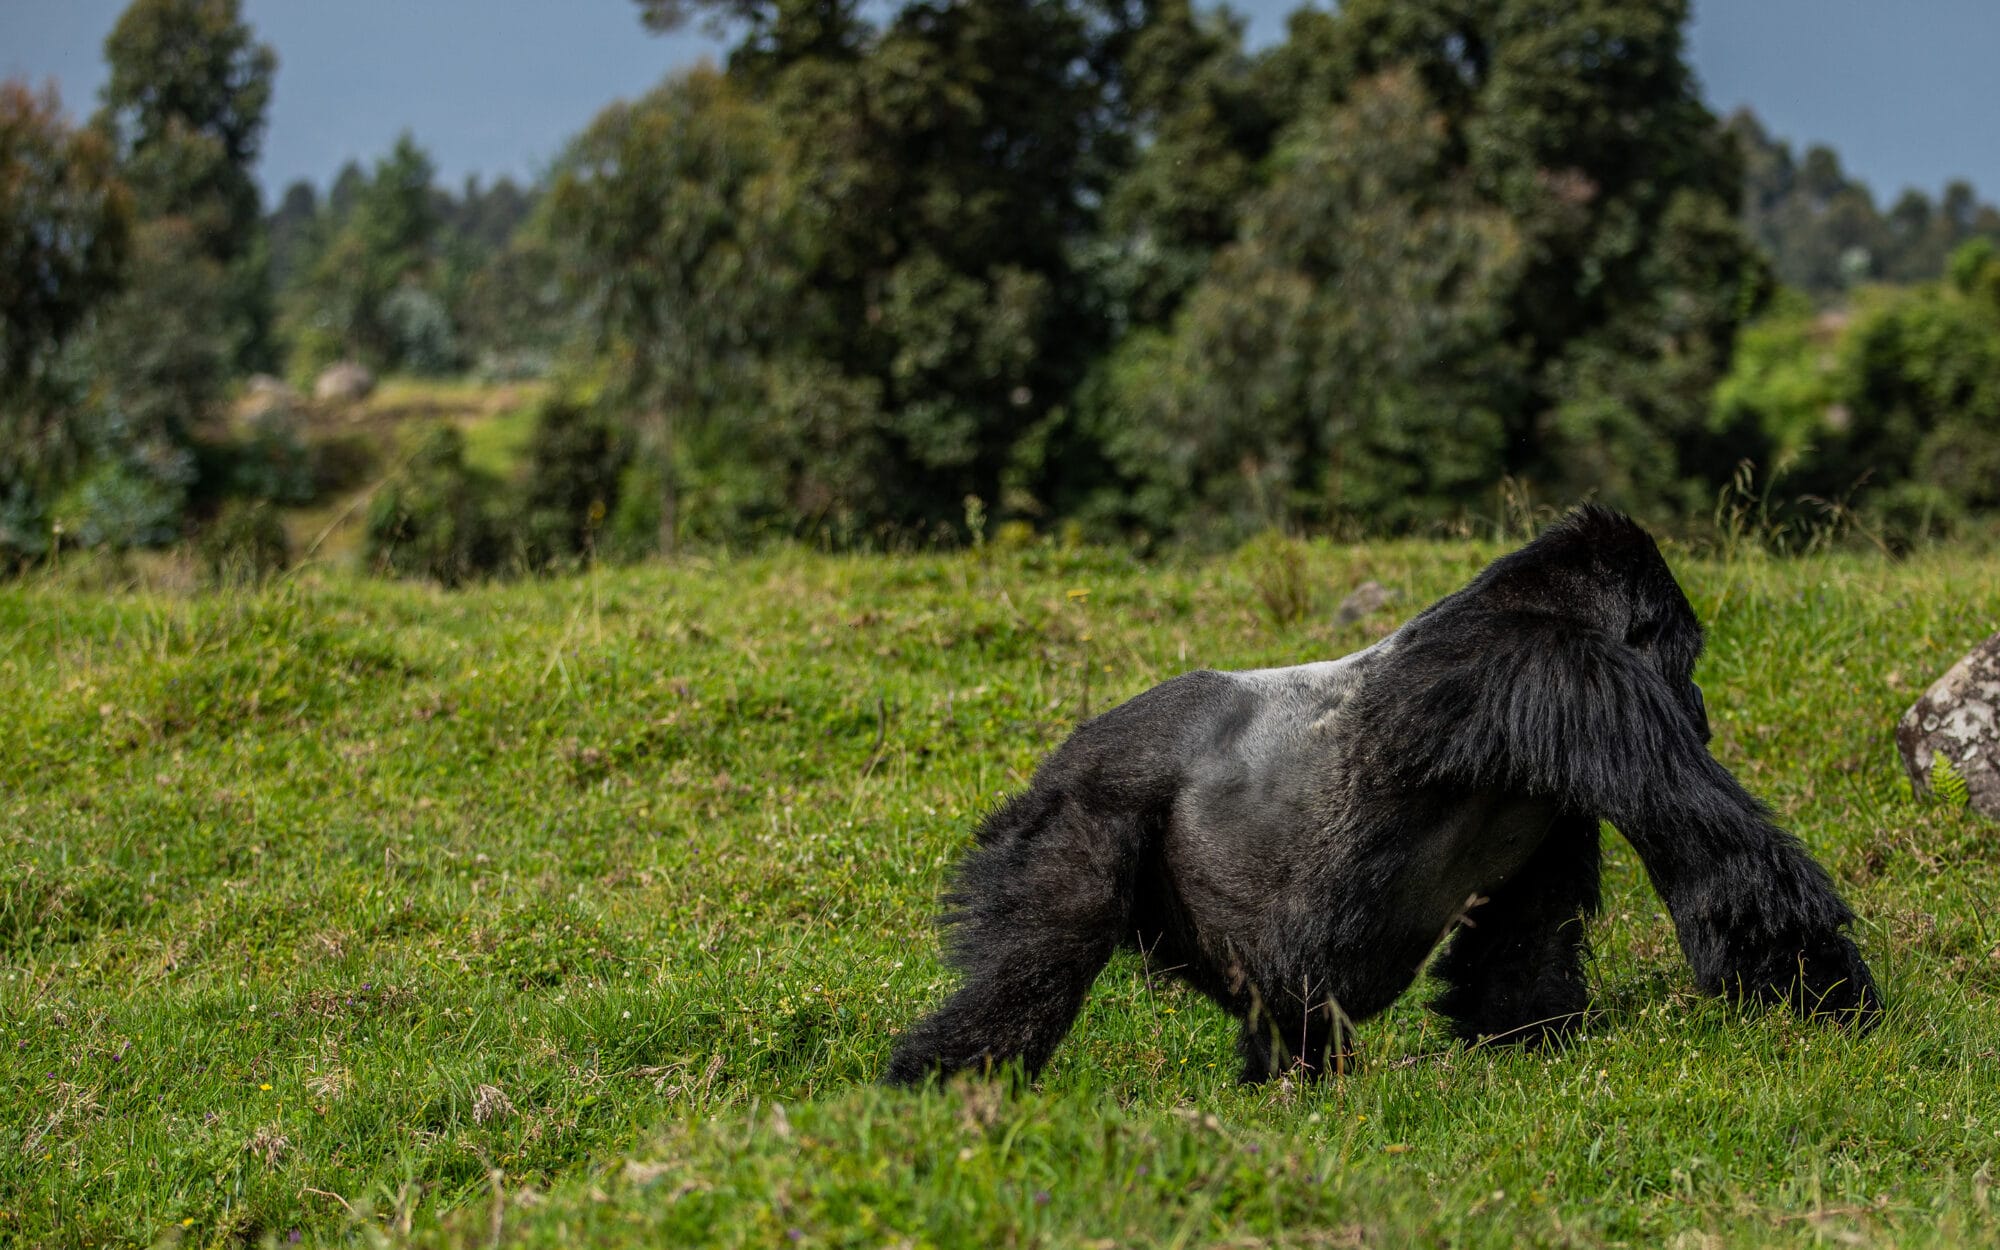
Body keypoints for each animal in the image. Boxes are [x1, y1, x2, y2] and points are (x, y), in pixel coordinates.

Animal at [884, 505, 1879, 1085]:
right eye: (1687, 654)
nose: (1701, 710)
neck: (1544, 600)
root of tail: (1052, 771)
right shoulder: (1579, 680)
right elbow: (1731, 870)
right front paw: (1834, 1006)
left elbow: (1521, 946)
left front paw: (1521, 1041)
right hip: (1081, 816)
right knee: (1037, 963)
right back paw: (950, 1081)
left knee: (1278, 1016)